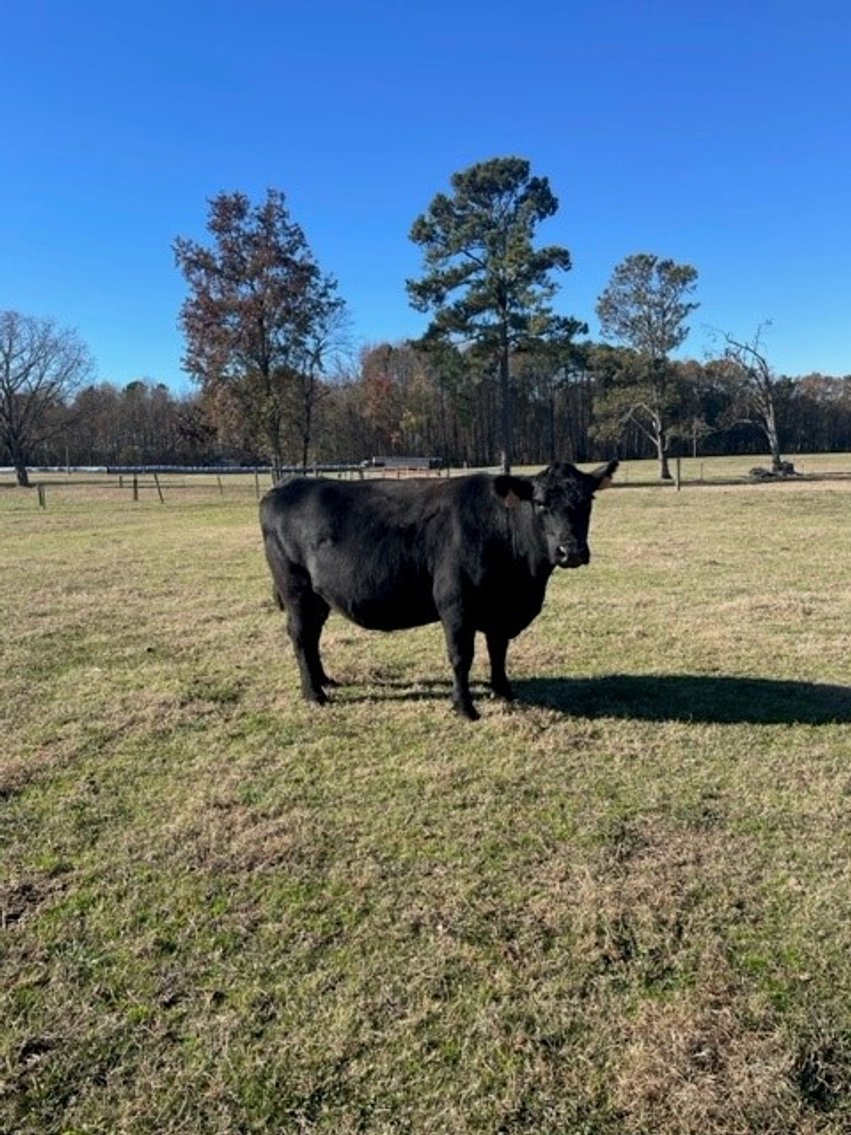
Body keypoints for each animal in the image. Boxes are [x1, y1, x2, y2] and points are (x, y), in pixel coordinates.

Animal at [259, 461, 618, 720]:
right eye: (541, 503)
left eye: (588, 500)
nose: (570, 551)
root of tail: (286, 486)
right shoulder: (456, 604)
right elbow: (461, 656)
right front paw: (465, 708)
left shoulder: (500, 611)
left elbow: (498, 651)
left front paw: (503, 691)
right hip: (296, 589)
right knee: (300, 635)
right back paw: (315, 694)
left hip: (318, 597)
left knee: (312, 635)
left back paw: (324, 680)